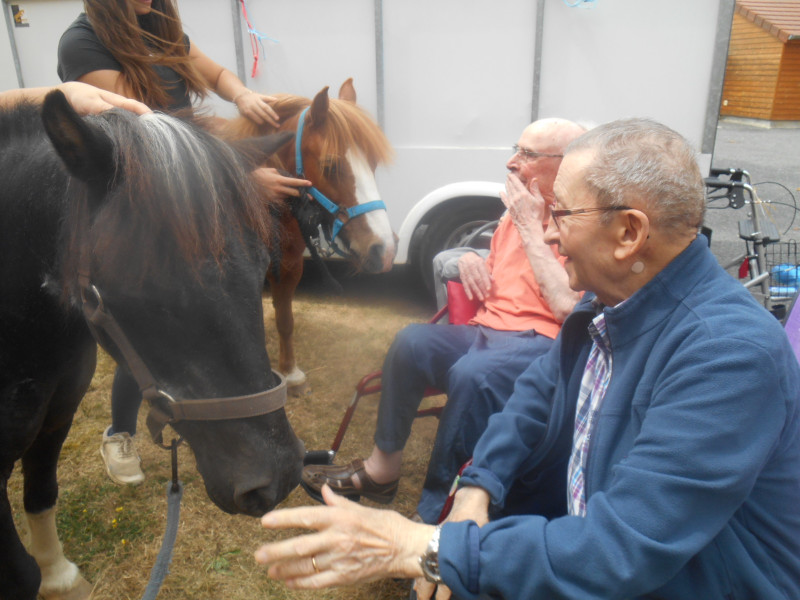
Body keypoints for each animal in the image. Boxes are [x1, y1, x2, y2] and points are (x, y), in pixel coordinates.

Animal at [0, 94, 304, 600]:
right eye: (144, 287)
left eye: (262, 266)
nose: (277, 476)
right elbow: (19, 570)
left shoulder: (55, 416)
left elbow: (42, 493)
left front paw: (58, 576)